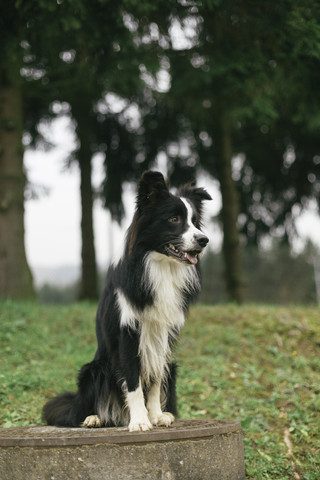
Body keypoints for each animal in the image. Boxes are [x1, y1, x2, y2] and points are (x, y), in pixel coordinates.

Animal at [43, 170, 212, 432]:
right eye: (174, 219)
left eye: (195, 221)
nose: (204, 240)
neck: (160, 266)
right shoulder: (128, 333)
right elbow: (133, 382)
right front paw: (140, 421)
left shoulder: (162, 334)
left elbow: (154, 379)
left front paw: (155, 415)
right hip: (94, 369)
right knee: (80, 411)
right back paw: (93, 418)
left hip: (172, 367)